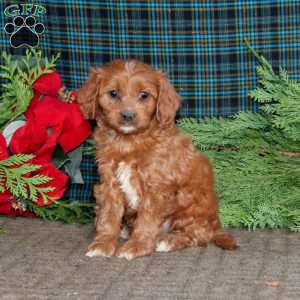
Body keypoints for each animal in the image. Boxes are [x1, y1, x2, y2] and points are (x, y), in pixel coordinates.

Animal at [78, 59, 238, 260]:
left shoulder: (157, 188)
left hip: (192, 203)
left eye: (144, 95)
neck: (129, 142)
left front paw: (136, 246)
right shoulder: (109, 183)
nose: (128, 116)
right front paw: (103, 243)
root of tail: (216, 223)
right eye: (113, 93)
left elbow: (146, 220)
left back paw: (168, 241)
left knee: (198, 234)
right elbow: (109, 215)